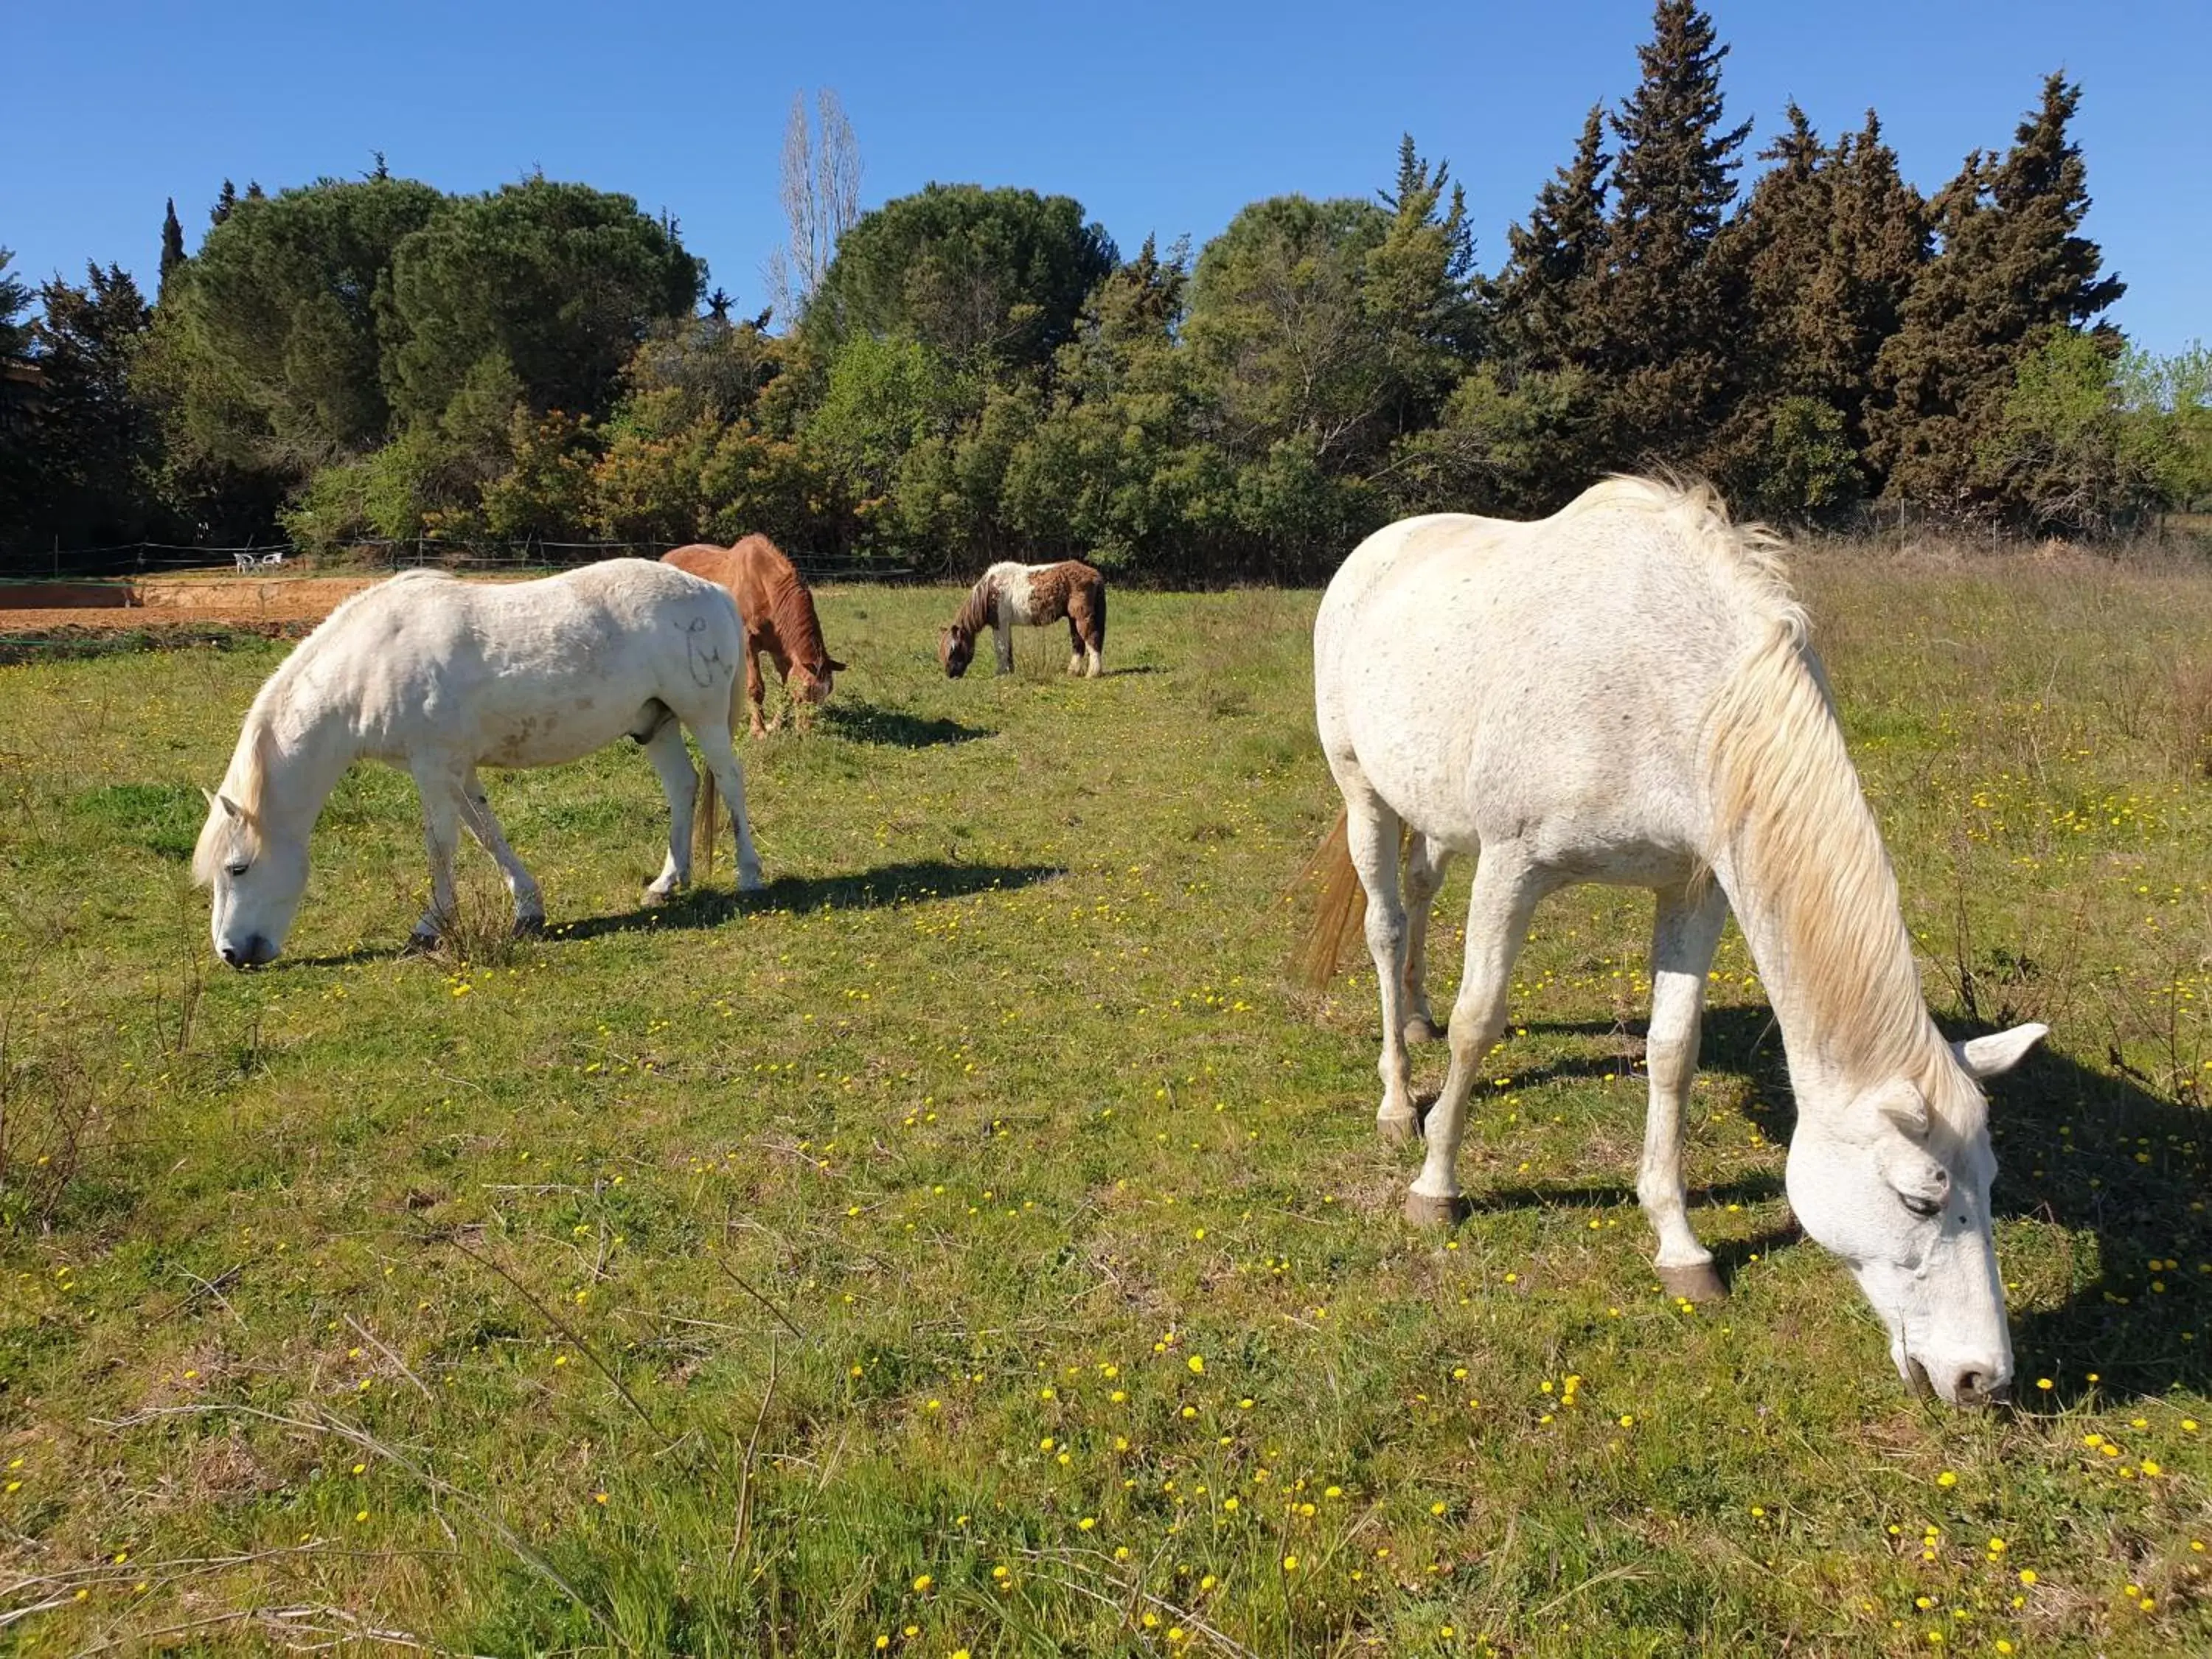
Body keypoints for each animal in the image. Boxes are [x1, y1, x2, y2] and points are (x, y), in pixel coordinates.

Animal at [192, 566, 779, 969]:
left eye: (237, 868)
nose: (231, 954)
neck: (371, 663)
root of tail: (712, 591)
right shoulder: (458, 770)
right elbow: (486, 833)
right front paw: (529, 911)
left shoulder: (432, 767)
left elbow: (442, 844)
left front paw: (429, 927)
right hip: (655, 724)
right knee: (682, 787)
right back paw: (667, 882)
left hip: (702, 717)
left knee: (730, 782)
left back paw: (749, 874)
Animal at [933, 562, 1106, 677]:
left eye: (954, 649)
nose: (951, 675)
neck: (990, 591)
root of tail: (1095, 575)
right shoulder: (1006, 625)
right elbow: (1008, 649)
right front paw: (1009, 671)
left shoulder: (999, 624)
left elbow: (1001, 648)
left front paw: (1000, 673)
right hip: (1072, 619)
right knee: (1078, 643)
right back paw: (1073, 671)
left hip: (1082, 617)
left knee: (1092, 640)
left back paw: (1092, 673)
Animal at [1301, 473, 2044, 1407]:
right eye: (1919, 1200)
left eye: (1994, 1185)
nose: (1984, 1377)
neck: (1668, 687)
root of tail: (1380, 546)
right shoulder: (1514, 867)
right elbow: (1480, 1024)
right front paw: (1436, 1188)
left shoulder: (1695, 889)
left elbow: (1671, 1052)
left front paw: (1680, 1244)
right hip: (1363, 790)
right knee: (1387, 923)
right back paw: (1399, 1098)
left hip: (1434, 811)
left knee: (1424, 894)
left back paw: (1415, 1015)